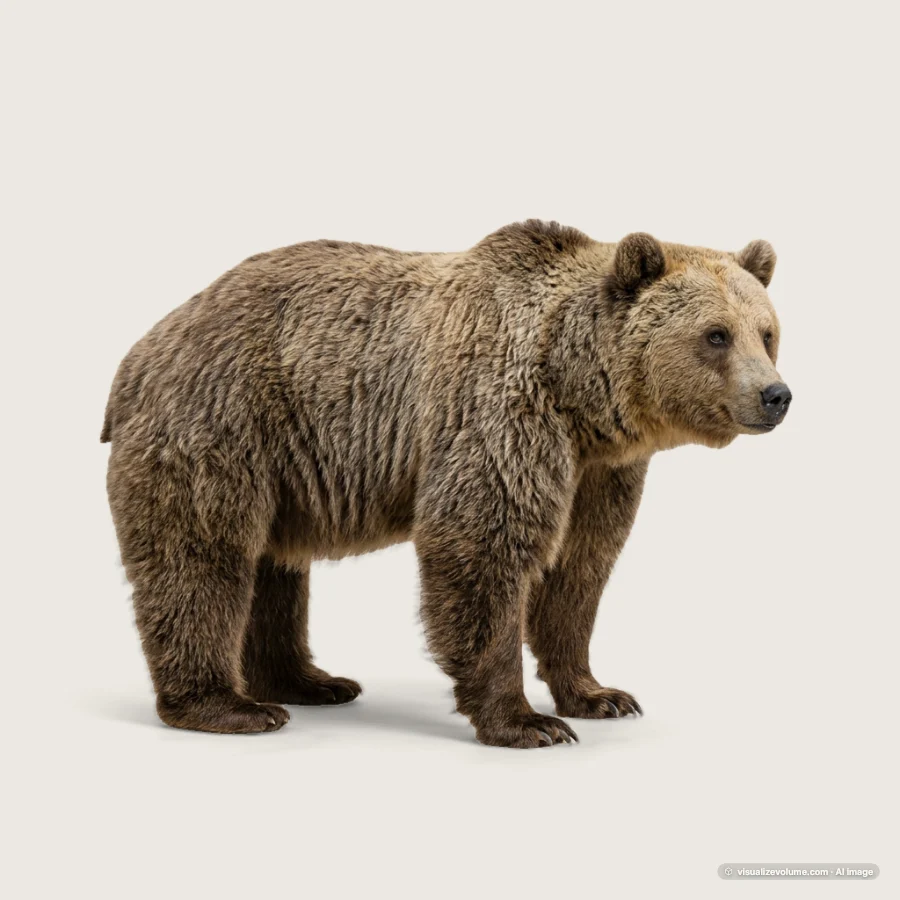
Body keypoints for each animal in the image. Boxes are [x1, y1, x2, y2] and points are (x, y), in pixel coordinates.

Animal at [102, 220, 791, 748]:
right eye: (715, 335)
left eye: (767, 332)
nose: (775, 395)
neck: (580, 396)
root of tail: (141, 351)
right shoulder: (500, 413)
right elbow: (484, 546)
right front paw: (527, 722)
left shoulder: (601, 471)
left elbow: (580, 568)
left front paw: (599, 694)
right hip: (222, 422)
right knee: (200, 556)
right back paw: (230, 706)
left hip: (284, 468)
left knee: (274, 567)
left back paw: (310, 682)